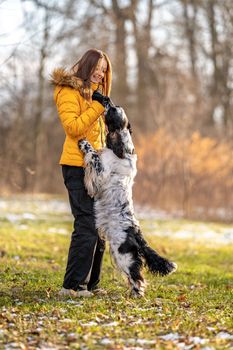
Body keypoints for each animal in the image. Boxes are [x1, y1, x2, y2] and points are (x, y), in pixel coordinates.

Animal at [78, 103, 177, 296]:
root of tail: (137, 234)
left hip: (122, 254)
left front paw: (84, 143)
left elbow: (93, 155)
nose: (107, 102)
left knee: (138, 278)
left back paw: (135, 294)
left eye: (114, 109)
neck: (123, 150)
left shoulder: (100, 174)